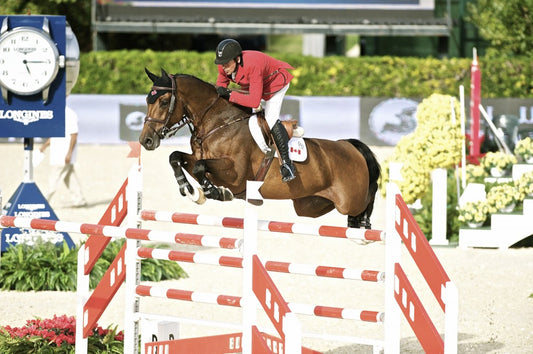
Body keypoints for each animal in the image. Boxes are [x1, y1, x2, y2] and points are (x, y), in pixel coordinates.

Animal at [137, 68, 378, 228]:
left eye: (164, 101)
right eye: (148, 101)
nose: (145, 140)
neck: (218, 123)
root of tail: (349, 146)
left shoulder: (235, 174)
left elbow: (200, 168)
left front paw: (216, 192)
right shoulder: (200, 160)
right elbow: (176, 157)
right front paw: (191, 191)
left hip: (349, 200)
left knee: (369, 194)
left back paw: (364, 224)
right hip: (310, 205)